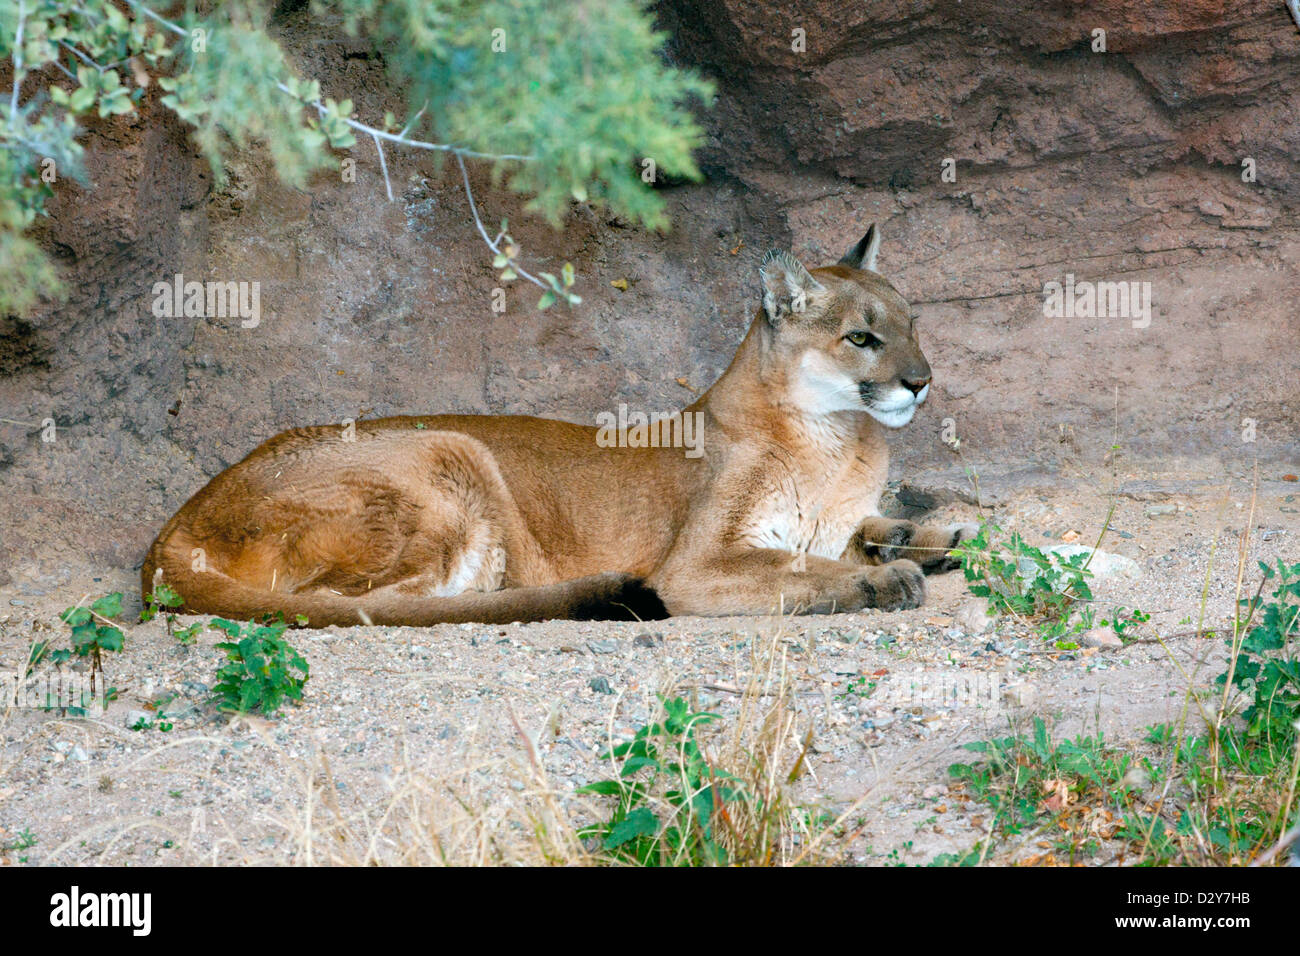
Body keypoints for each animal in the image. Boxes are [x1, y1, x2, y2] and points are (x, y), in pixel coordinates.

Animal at [144, 226, 977, 629]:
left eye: (911, 324)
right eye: (861, 338)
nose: (921, 380)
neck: (842, 438)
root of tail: (178, 521)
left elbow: (862, 529)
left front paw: (933, 537)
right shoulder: (699, 564)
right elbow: (801, 566)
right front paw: (881, 578)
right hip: (451, 453)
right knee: (381, 603)